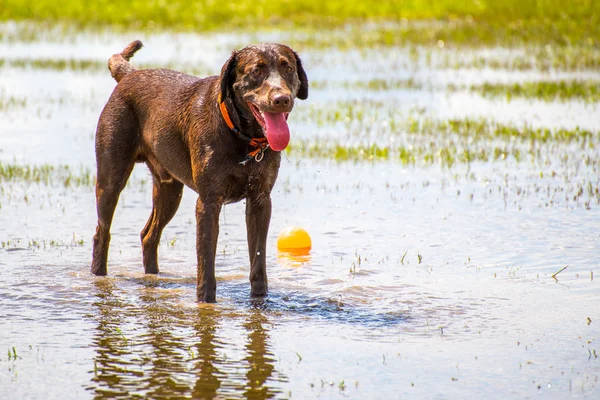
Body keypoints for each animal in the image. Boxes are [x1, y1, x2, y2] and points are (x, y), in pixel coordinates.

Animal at [94, 41, 312, 304]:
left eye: (288, 68)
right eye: (256, 71)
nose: (281, 99)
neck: (242, 136)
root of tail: (129, 75)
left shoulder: (260, 200)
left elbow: (258, 258)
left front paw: (259, 301)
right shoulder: (208, 202)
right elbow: (206, 259)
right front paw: (205, 302)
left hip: (169, 189)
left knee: (149, 235)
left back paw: (153, 277)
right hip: (110, 177)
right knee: (102, 233)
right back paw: (98, 278)